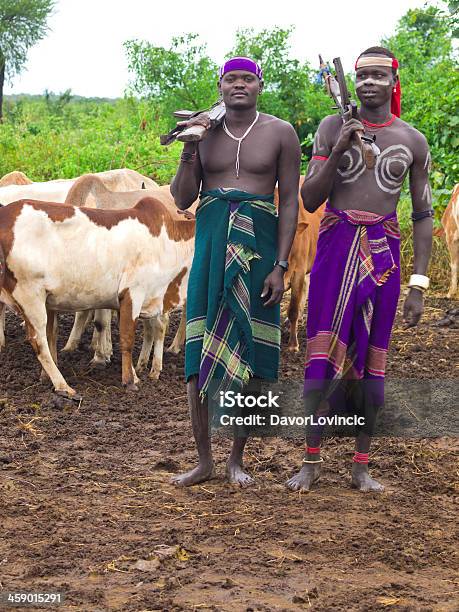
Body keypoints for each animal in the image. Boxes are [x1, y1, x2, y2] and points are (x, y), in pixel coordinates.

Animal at [0, 197, 195, 396]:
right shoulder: (133, 292)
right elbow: (127, 339)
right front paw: (129, 381)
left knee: (49, 335)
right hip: (30, 294)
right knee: (38, 340)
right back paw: (63, 385)